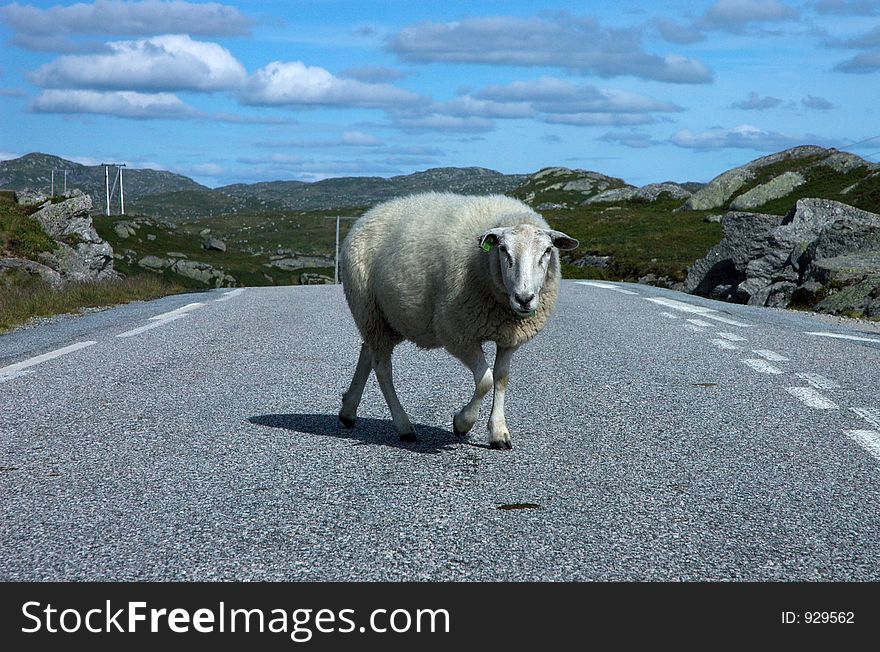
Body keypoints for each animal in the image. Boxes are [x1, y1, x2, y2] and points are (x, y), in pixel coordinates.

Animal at [336, 191, 576, 450]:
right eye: (503, 250)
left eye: (547, 251)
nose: (524, 299)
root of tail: (366, 216)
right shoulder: (458, 335)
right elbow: (485, 381)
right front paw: (462, 423)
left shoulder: (509, 337)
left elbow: (501, 378)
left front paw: (498, 432)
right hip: (369, 310)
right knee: (382, 369)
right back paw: (404, 427)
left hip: (382, 318)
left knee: (367, 352)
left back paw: (348, 411)